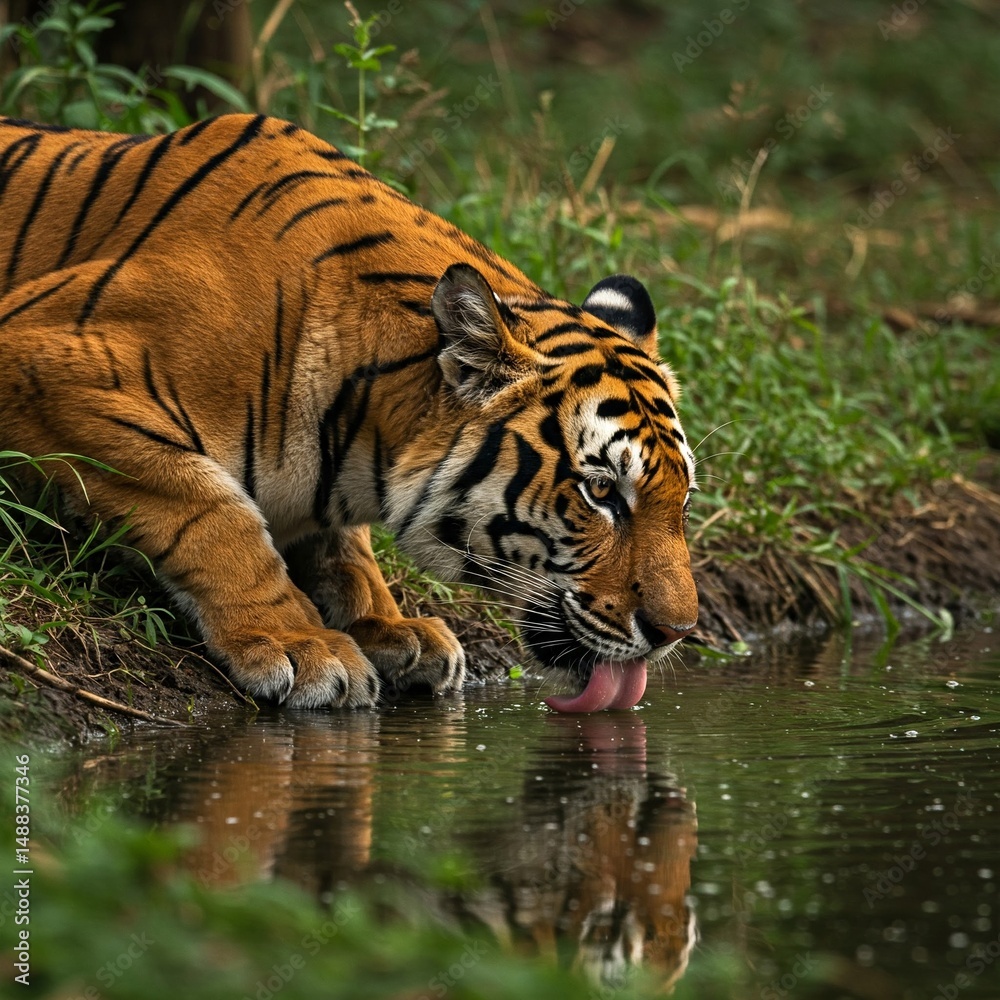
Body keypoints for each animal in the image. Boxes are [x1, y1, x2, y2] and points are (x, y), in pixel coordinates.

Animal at [0, 113, 699, 712]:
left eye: (684, 499)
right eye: (601, 493)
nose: (677, 632)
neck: (360, 427)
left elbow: (343, 546)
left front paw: (391, 626)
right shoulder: (42, 356)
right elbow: (210, 509)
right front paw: (301, 645)